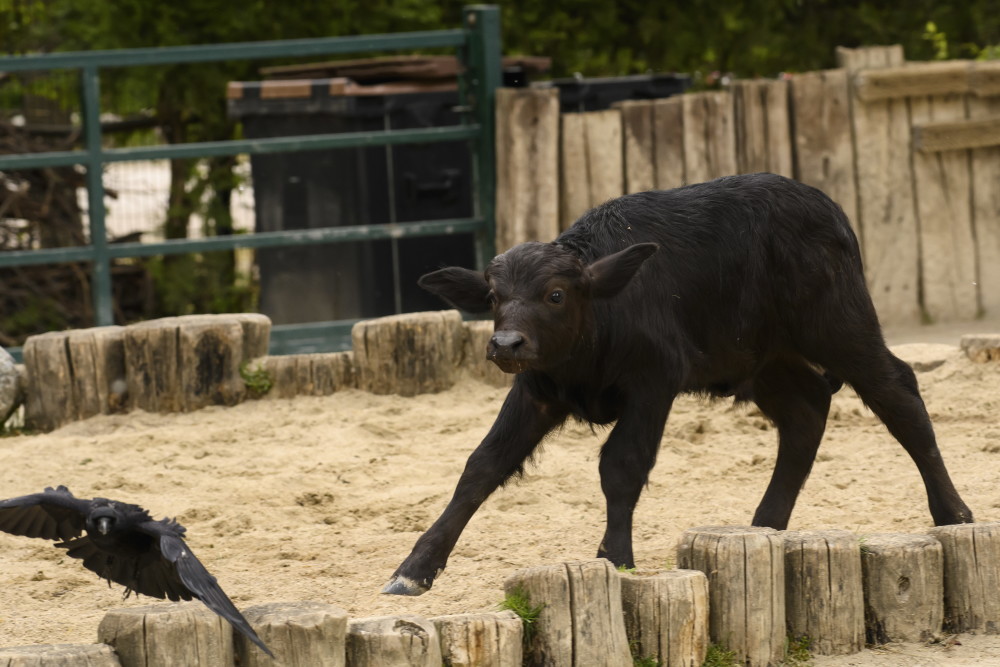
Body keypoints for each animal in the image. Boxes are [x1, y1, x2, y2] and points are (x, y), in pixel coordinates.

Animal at [380, 171, 968, 596]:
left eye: (555, 294)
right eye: (494, 297)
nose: (506, 345)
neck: (600, 325)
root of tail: (823, 207)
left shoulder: (653, 382)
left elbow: (621, 466)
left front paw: (616, 558)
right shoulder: (537, 392)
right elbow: (482, 466)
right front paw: (415, 567)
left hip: (838, 324)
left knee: (897, 392)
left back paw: (953, 513)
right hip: (764, 358)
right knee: (806, 409)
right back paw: (763, 527)